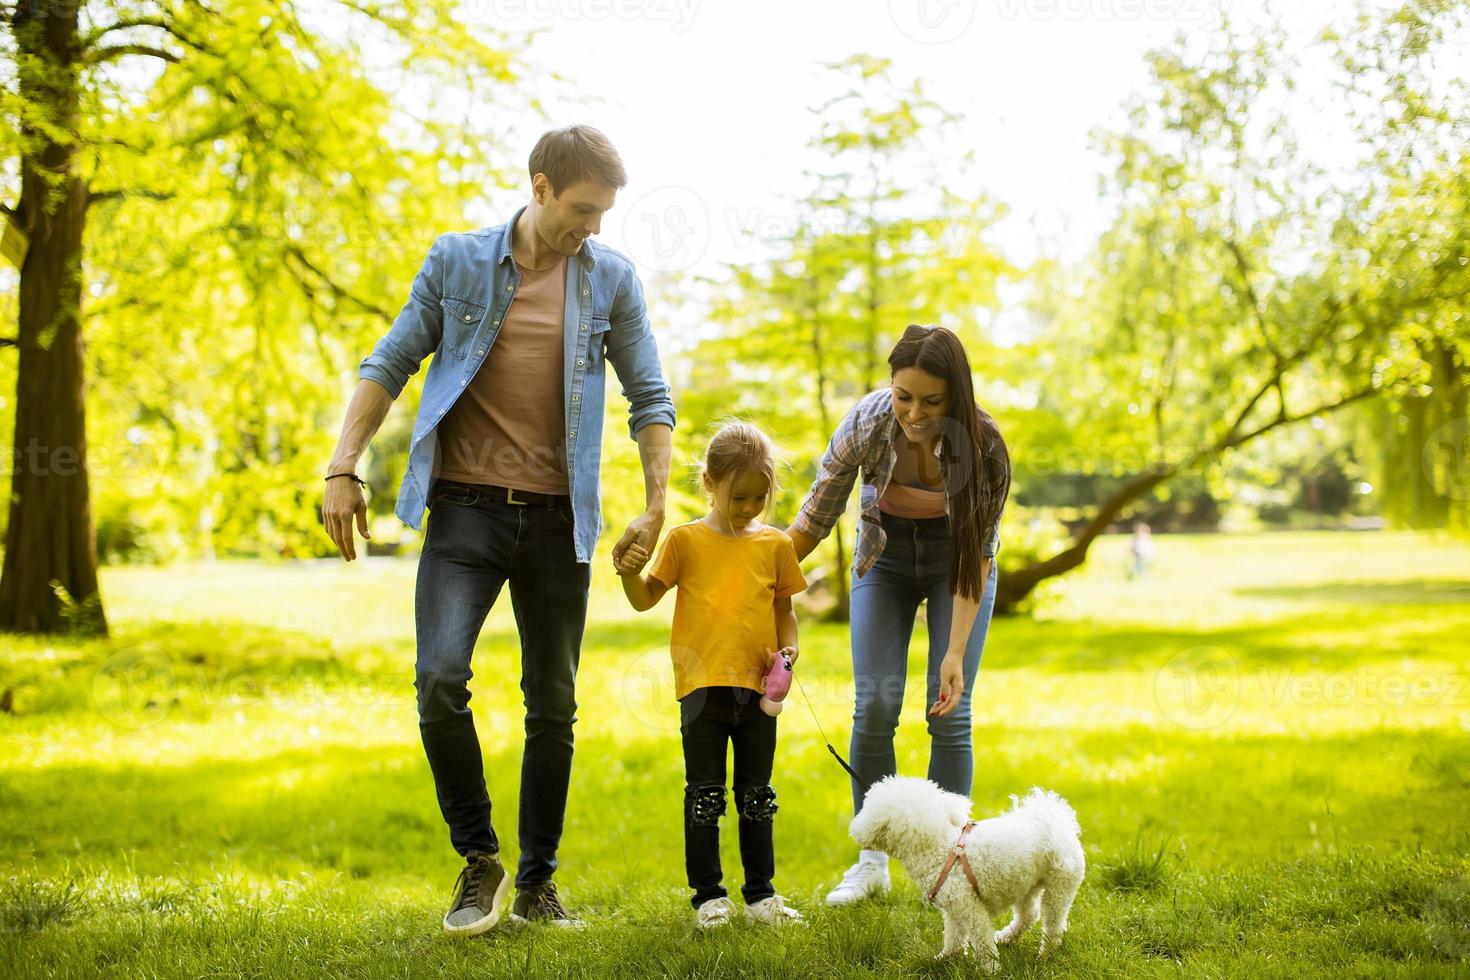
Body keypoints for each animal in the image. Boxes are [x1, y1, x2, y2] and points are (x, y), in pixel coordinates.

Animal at [852, 775, 1081, 969]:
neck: (940, 847)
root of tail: (1059, 823)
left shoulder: (970, 909)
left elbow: (982, 941)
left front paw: (990, 969)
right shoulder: (954, 909)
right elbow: (953, 936)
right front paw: (945, 958)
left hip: (1059, 888)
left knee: (1053, 926)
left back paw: (1044, 955)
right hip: (1025, 884)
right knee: (1028, 915)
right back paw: (1006, 937)